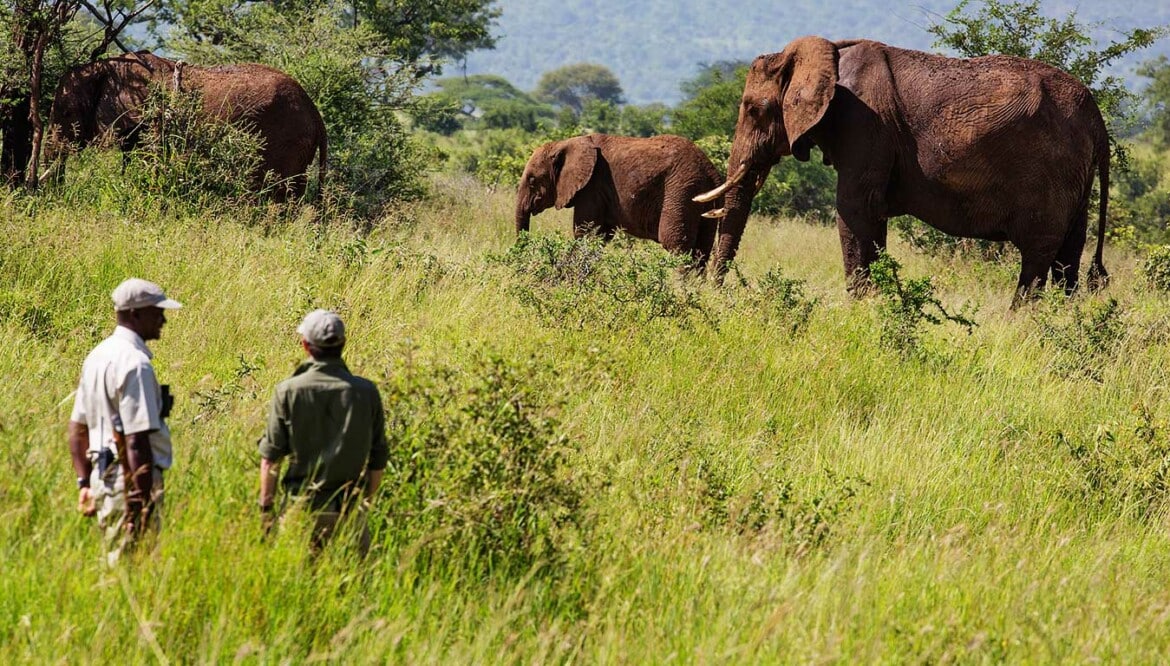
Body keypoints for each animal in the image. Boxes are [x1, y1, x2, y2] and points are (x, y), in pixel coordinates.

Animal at [514, 132, 720, 268]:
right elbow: (599, 236)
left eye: (532, 180)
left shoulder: (592, 187)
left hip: (681, 190)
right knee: (702, 250)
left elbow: (585, 233)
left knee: (677, 245)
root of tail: (710, 169)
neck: (566, 143)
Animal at [697, 33, 1109, 298]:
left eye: (754, 109)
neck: (827, 51)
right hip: (1076, 179)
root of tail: (1096, 117)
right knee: (1068, 261)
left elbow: (853, 210)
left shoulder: (864, 124)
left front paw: (858, 306)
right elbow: (872, 220)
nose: (715, 294)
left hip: (1051, 173)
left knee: (1038, 258)